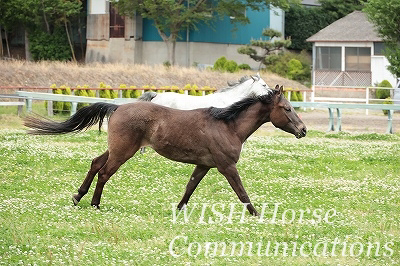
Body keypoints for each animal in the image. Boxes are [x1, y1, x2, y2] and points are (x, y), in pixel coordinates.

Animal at [25, 85, 306, 216]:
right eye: (288, 108)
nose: (303, 130)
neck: (228, 125)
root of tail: (118, 107)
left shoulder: (204, 165)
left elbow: (189, 188)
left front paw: (178, 210)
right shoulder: (227, 167)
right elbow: (242, 193)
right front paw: (257, 215)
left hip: (116, 148)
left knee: (95, 163)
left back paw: (78, 196)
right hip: (123, 152)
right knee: (104, 172)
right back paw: (95, 204)